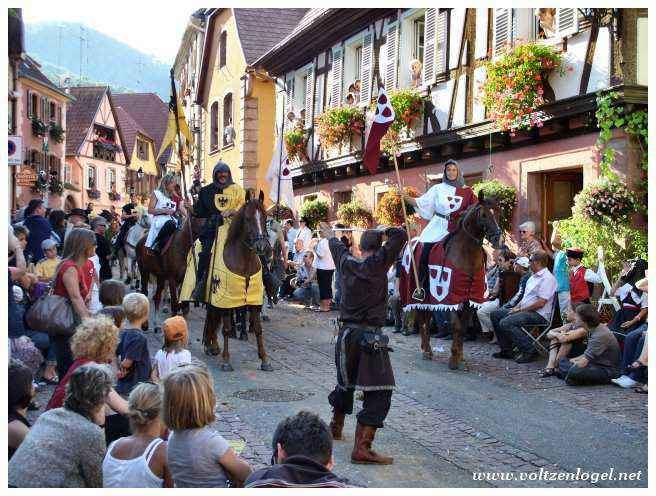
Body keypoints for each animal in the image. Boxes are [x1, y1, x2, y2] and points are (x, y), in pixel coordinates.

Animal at [200, 192, 272, 370]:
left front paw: (264, 359)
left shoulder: (254, 299)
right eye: (247, 218)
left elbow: (258, 328)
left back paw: (213, 345)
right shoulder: (226, 299)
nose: (261, 246)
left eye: (265, 216)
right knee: (213, 314)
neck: (244, 261)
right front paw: (226, 361)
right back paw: (211, 345)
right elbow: (226, 328)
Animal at [410, 192, 502, 370]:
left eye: (498, 212)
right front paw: (453, 358)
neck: (466, 254)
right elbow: (456, 325)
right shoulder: (450, 297)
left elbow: (463, 327)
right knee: (422, 318)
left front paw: (459, 354)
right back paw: (426, 350)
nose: (496, 238)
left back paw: (427, 348)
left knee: (426, 318)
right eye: (483, 215)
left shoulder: (470, 298)